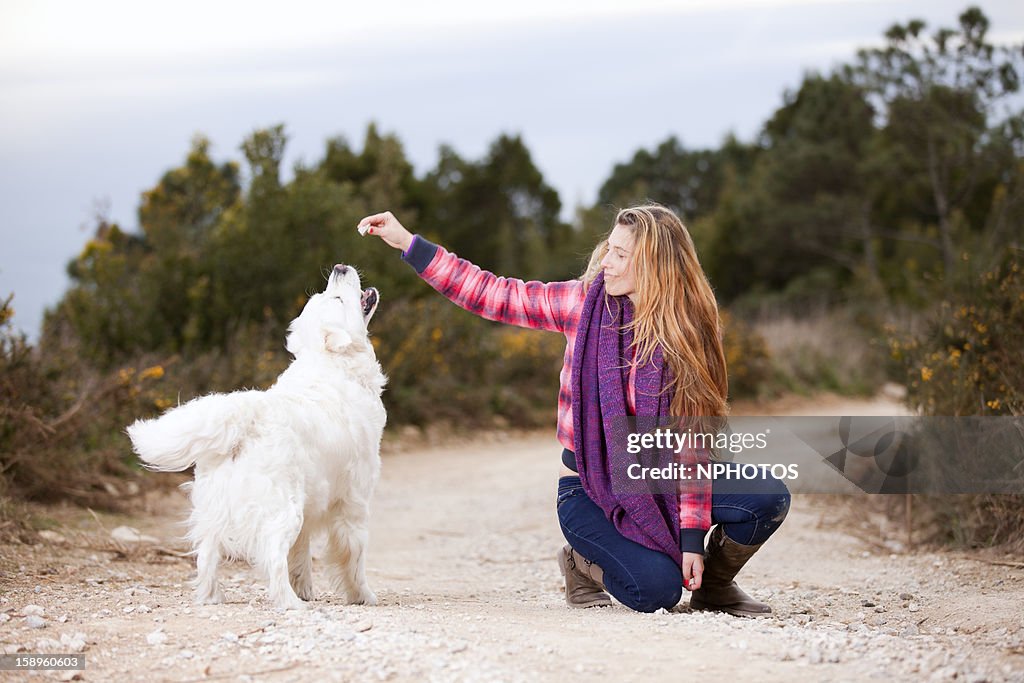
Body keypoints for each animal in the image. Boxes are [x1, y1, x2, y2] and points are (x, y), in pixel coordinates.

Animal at [126, 264, 385, 610]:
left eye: (330, 294)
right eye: (338, 299)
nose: (339, 268)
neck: (331, 362)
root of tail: (245, 413)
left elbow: (300, 556)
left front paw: (306, 587)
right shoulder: (354, 501)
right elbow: (353, 556)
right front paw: (363, 596)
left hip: (214, 509)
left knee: (206, 556)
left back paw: (212, 597)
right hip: (284, 509)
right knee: (273, 556)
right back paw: (290, 603)